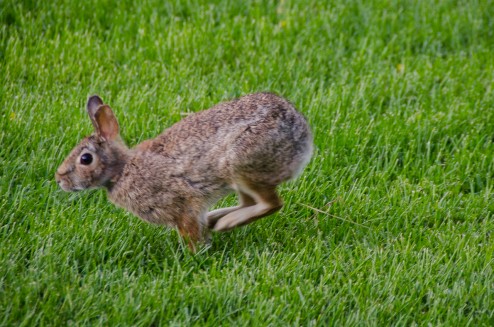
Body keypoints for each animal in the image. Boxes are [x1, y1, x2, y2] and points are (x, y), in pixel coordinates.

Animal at [55, 92, 312, 251]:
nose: (59, 179)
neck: (122, 170)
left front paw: (196, 253)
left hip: (242, 165)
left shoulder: (182, 205)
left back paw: (226, 223)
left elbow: (190, 231)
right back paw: (217, 218)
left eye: (85, 159)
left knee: (272, 204)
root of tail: (304, 137)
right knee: (251, 202)